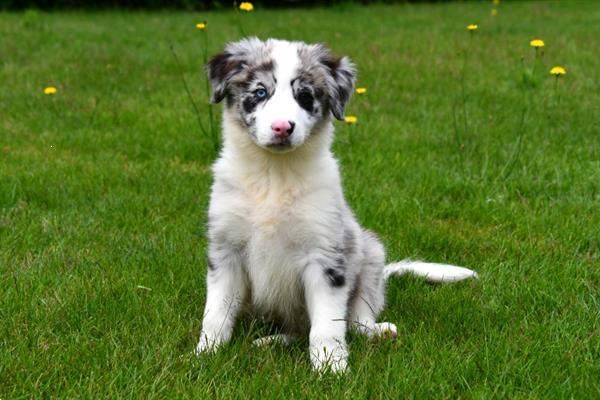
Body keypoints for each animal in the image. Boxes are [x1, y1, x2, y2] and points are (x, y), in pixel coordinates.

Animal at [195, 37, 476, 372]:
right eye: (260, 93)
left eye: (305, 96)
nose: (282, 127)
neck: (274, 176)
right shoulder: (226, 252)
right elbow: (216, 312)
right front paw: (206, 353)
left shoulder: (325, 256)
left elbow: (327, 324)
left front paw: (330, 366)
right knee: (296, 331)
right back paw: (271, 341)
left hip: (370, 255)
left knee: (355, 321)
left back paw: (377, 332)